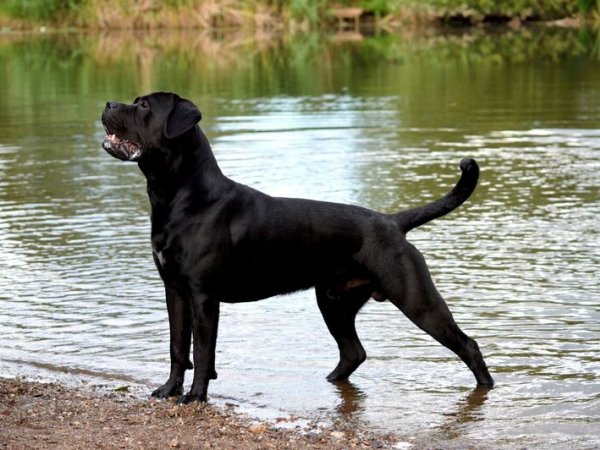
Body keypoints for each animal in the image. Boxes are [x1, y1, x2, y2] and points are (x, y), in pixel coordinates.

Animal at [102, 92, 492, 404]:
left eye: (144, 106)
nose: (108, 104)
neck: (178, 195)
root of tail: (392, 221)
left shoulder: (202, 296)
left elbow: (202, 350)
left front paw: (195, 397)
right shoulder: (175, 291)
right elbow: (178, 347)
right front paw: (168, 391)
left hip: (417, 300)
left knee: (467, 345)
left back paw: (485, 387)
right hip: (333, 302)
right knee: (353, 352)